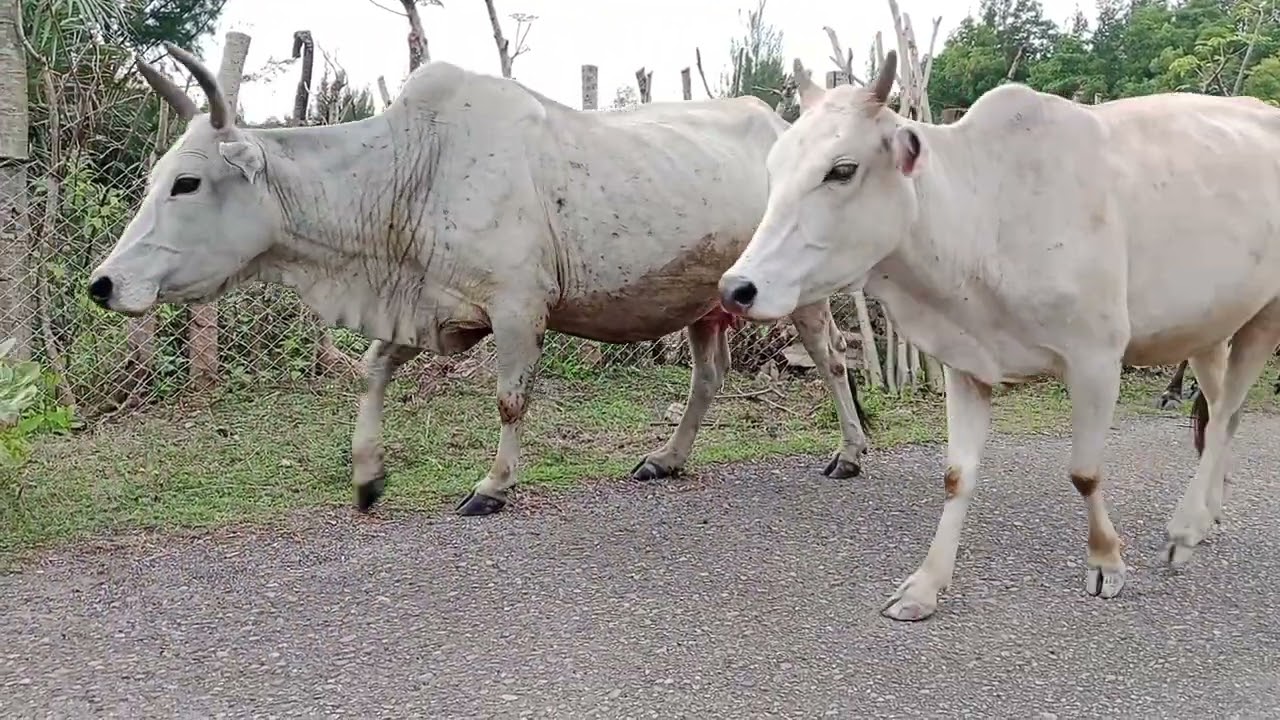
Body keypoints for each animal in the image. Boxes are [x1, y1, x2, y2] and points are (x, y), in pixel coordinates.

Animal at [86, 43, 872, 516]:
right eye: (157, 177)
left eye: (187, 183)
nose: (103, 284)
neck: (409, 171)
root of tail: (779, 123)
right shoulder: (431, 308)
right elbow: (373, 371)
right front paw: (367, 477)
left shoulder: (519, 308)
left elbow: (509, 400)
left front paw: (493, 486)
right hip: (705, 303)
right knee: (707, 379)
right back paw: (667, 459)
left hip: (803, 295)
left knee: (832, 358)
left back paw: (850, 453)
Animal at [717, 49, 1280, 621]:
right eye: (774, 168)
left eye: (842, 170)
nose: (736, 288)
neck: (986, 214)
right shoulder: (965, 363)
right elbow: (957, 476)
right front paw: (925, 586)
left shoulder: (1096, 358)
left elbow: (1085, 471)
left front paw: (1105, 561)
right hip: (1210, 327)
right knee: (1223, 411)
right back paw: (1208, 514)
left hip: (1266, 315)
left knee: (1226, 412)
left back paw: (1185, 529)